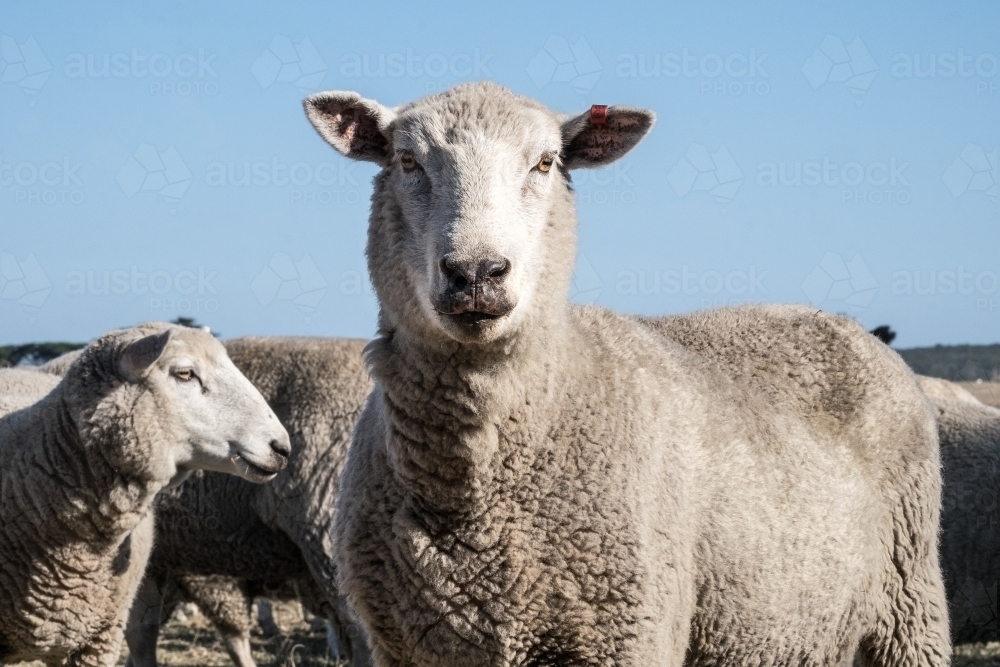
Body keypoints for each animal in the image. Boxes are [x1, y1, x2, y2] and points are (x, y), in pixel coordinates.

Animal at [304, 83, 952, 667]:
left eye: (546, 162)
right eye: (408, 161)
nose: (476, 272)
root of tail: (841, 321)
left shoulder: (627, 632)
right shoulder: (400, 645)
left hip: (909, 594)